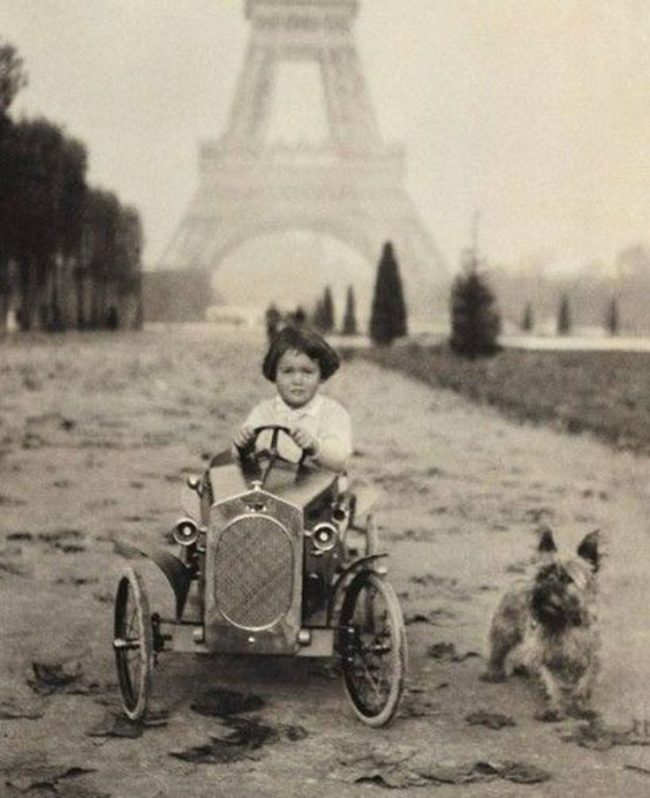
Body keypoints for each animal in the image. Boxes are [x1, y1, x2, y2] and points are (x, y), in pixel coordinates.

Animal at [478, 528, 600, 720]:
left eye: (567, 578)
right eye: (542, 575)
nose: (543, 589)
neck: (562, 622)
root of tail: (521, 579)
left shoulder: (591, 656)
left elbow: (586, 680)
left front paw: (580, 705)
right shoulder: (540, 657)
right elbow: (550, 683)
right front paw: (555, 706)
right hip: (504, 630)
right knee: (497, 651)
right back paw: (494, 671)